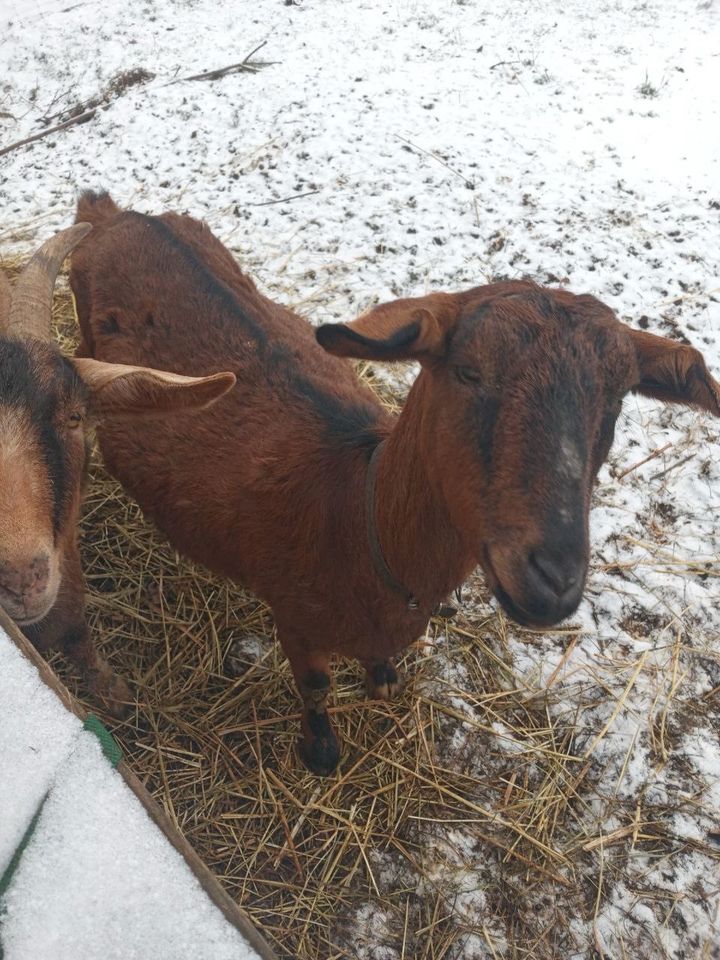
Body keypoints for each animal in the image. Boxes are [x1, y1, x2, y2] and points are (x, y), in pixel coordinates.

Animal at [69, 195, 720, 772]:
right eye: (468, 371)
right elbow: (315, 687)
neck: (356, 513)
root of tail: (115, 213)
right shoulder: (293, 618)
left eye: (618, 397)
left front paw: (382, 680)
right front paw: (321, 754)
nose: (554, 581)